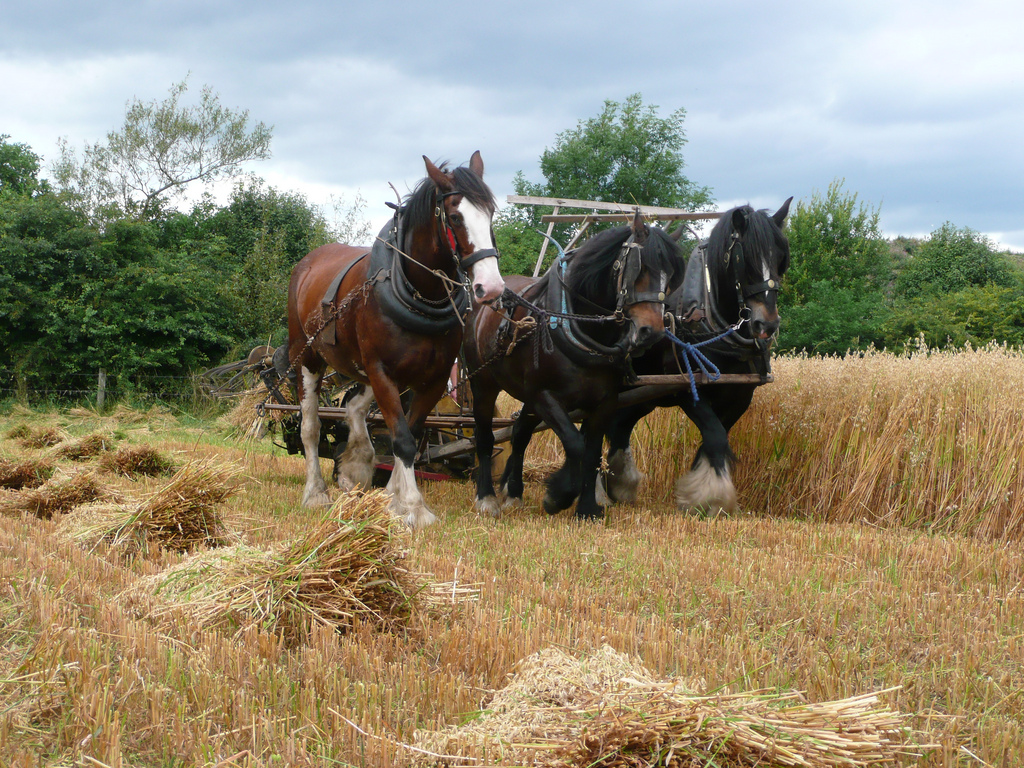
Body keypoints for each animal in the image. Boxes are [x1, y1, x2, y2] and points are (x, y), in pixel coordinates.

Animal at [286, 153, 501, 532]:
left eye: (490, 213)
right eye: (455, 217)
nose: (491, 287)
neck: (420, 295)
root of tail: (308, 262)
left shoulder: (432, 379)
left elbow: (411, 435)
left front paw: (393, 497)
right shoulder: (382, 371)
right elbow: (400, 437)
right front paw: (414, 506)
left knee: (354, 407)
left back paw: (357, 462)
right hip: (309, 355)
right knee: (310, 426)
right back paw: (316, 492)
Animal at [468, 214, 684, 520]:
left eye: (671, 276)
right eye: (639, 268)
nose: (650, 332)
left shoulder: (606, 401)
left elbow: (592, 452)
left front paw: (587, 508)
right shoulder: (545, 396)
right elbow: (574, 443)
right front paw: (557, 496)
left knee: (520, 434)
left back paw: (514, 493)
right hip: (483, 383)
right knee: (485, 436)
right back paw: (487, 497)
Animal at [598, 198, 790, 514]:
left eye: (780, 259)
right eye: (744, 259)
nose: (767, 325)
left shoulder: (740, 396)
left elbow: (715, 441)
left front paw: (706, 493)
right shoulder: (689, 392)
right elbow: (715, 435)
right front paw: (711, 498)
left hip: (644, 395)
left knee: (620, 425)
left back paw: (618, 483)